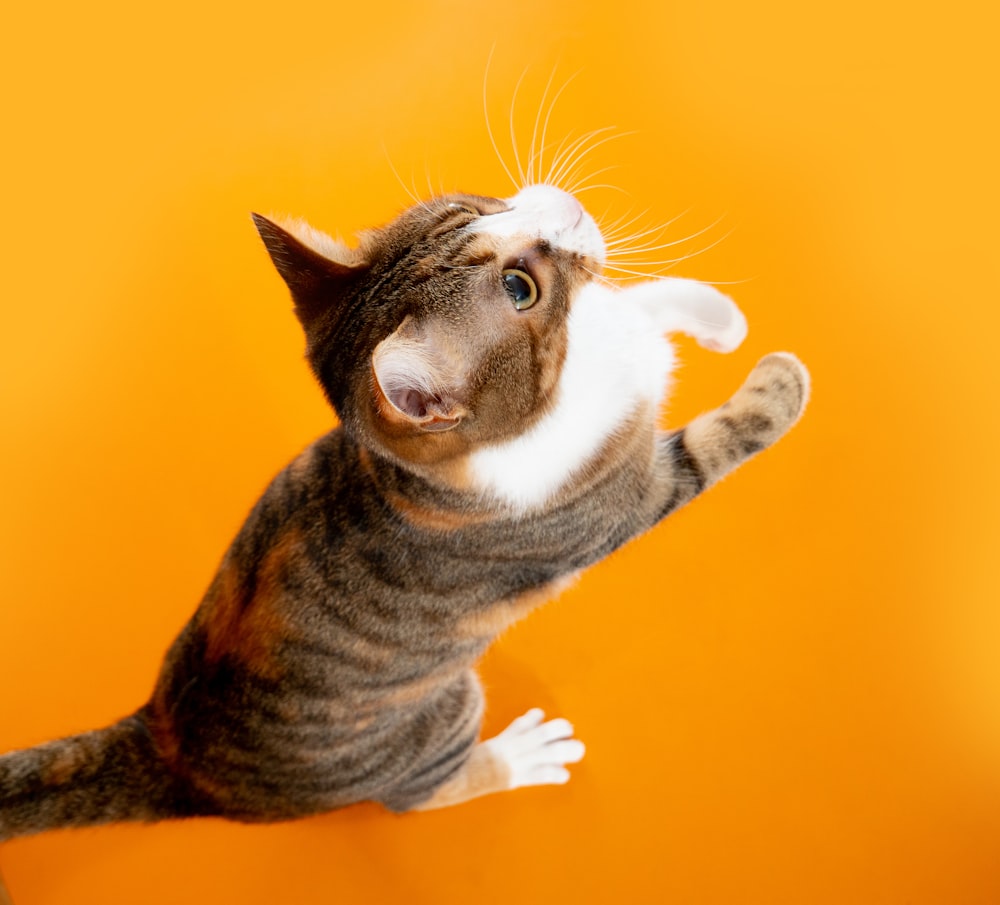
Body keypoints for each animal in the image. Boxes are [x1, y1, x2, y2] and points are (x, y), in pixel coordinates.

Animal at [0, 180, 808, 836]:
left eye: (484, 204)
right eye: (519, 288)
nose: (563, 204)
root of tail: (172, 754)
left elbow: (641, 305)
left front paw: (716, 316)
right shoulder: (624, 498)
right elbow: (722, 436)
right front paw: (779, 380)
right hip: (440, 720)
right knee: (416, 796)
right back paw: (522, 756)